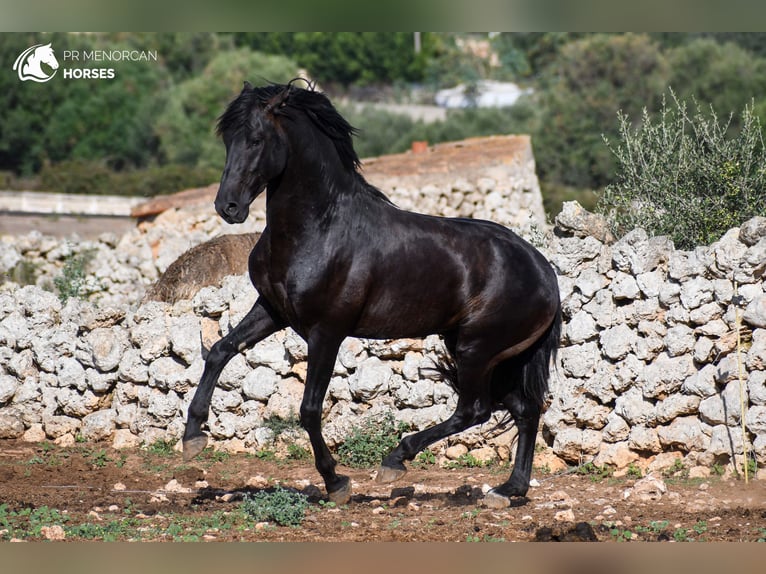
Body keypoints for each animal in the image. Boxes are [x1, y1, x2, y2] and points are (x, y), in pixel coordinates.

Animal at [182, 81, 560, 508]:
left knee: (475, 410)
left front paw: (336, 482)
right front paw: (193, 436)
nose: (228, 207)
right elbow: (220, 350)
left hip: (477, 349)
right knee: (524, 409)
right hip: (495, 353)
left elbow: (309, 409)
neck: (319, 228)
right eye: (228, 139)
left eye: (257, 139)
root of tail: (544, 270)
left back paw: (396, 460)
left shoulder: (326, 332)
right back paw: (508, 489)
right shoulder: (272, 311)